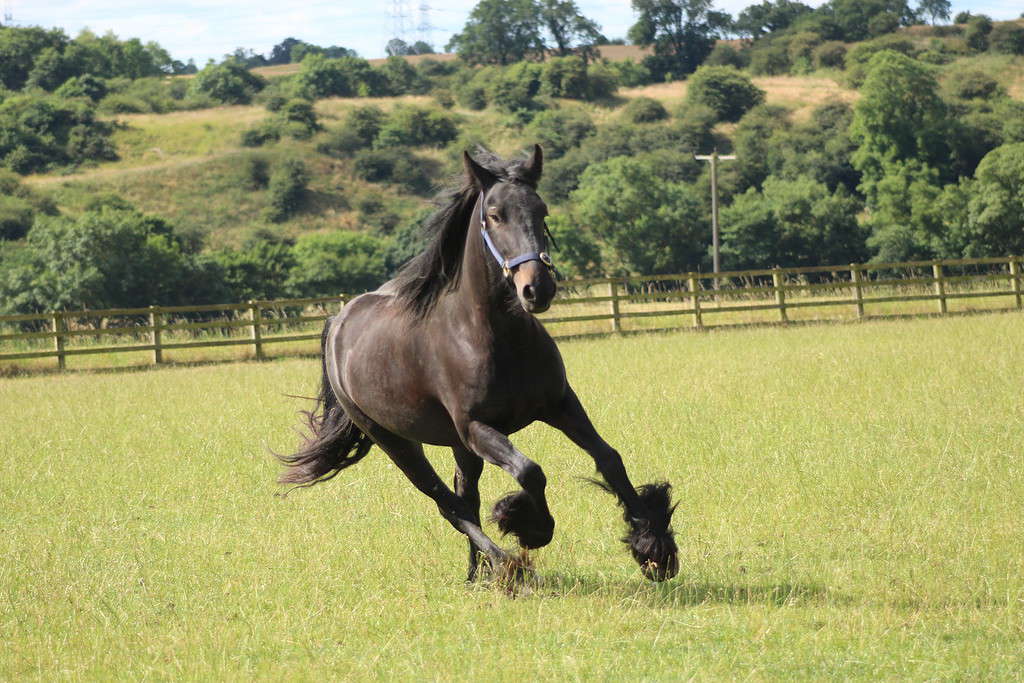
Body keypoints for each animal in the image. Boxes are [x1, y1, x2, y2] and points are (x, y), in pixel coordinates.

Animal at [278, 145, 679, 582]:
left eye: (542, 210)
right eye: (495, 215)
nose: (537, 289)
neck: (492, 336)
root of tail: (338, 321)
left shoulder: (559, 405)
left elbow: (609, 458)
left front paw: (653, 548)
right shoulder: (477, 428)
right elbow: (529, 471)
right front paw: (526, 523)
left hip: (456, 445)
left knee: (464, 497)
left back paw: (478, 573)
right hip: (396, 442)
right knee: (448, 504)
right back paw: (505, 566)